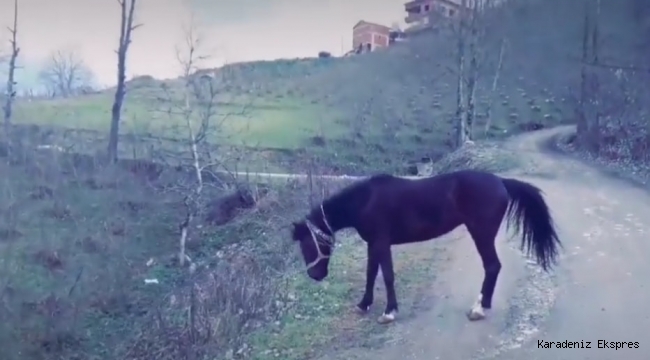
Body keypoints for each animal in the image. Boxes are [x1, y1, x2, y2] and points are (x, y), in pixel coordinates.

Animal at [292, 170, 560, 324]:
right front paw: (364, 304)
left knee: (492, 266)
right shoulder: (373, 244)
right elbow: (371, 274)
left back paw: (478, 309)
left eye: (306, 244)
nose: (315, 275)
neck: (365, 200)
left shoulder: (381, 242)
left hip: (482, 234)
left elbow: (387, 275)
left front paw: (389, 312)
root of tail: (500, 181)